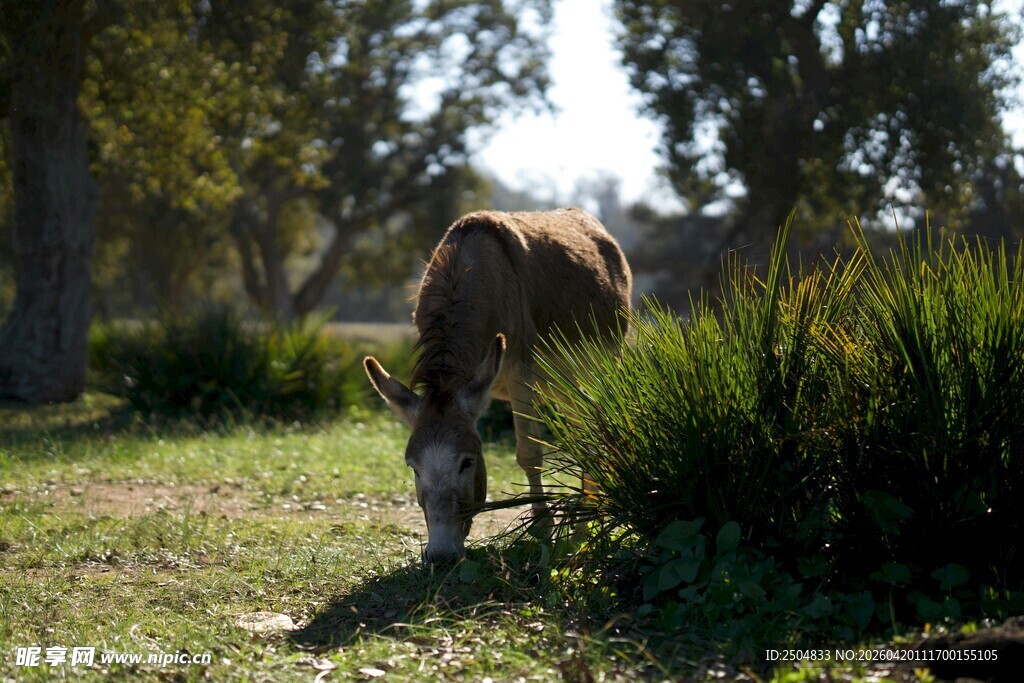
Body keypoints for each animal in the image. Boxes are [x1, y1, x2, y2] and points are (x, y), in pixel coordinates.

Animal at [364, 208, 632, 563]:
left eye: (468, 461)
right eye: (413, 467)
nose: (441, 555)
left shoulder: (520, 372)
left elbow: (530, 453)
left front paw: (544, 530)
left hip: (600, 368)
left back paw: (583, 526)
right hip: (563, 387)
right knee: (584, 434)